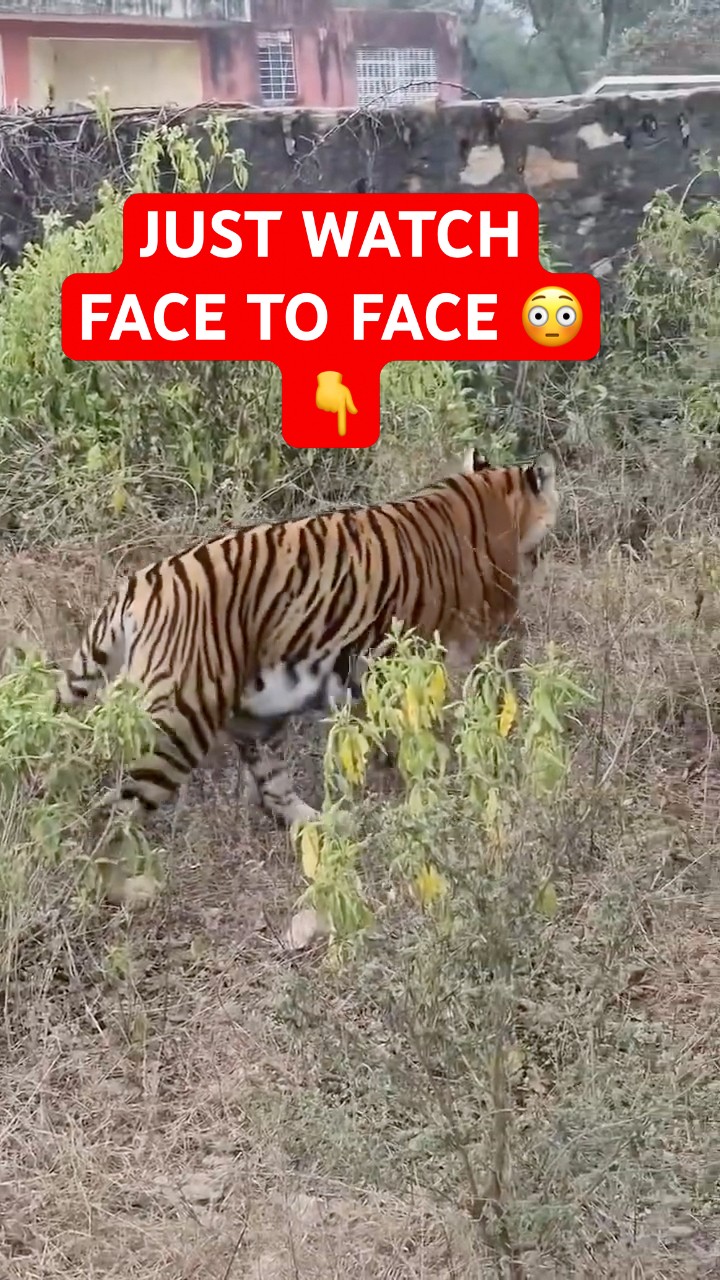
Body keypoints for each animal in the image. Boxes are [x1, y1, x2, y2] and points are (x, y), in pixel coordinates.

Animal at [54, 447, 559, 829]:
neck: (491, 499)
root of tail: (136, 583)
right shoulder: (456, 648)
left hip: (256, 717)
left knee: (272, 788)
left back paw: (322, 823)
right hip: (177, 719)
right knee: (117, 811)